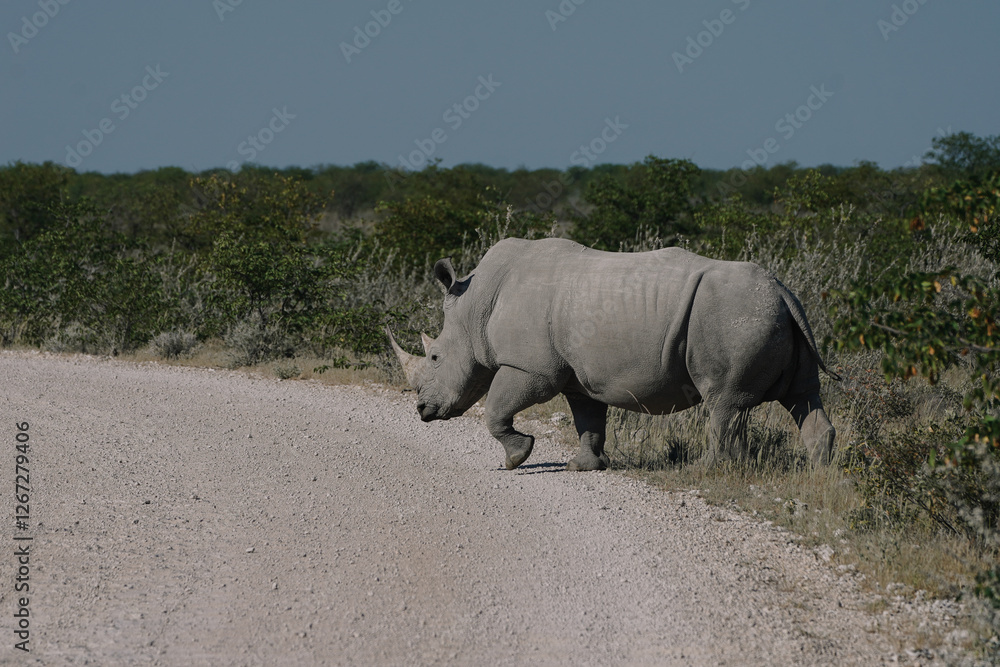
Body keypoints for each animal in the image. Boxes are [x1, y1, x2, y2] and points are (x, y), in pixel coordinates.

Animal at [387, 237, 837, 471]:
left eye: (434, 358)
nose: (422, 410)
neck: (474, 307)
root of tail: (781, 290)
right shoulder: (576, 374)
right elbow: (588, 417)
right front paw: (584, 467)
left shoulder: (531, 367)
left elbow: (495, 409)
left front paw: (517, 458)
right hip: (771, 316)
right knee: (802, 396)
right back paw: (821, 477)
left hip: (735, 316)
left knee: (724, 403)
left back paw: (704, 470)